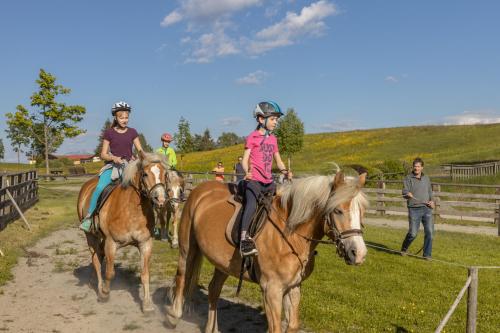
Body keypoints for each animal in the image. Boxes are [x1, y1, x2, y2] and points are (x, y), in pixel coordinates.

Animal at [77, 152, 169, 312]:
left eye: (165, 174)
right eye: (145, 174)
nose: (161, 199)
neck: (131, 209)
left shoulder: (145, 244)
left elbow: (145, 274)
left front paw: (147, 304)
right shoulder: (111, 243)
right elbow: (110, 272)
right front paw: (105, 294)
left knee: (99, 256)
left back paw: (93, 281)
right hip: (90, 236)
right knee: (96, 261)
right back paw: (99, 288)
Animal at [167, 170, 368, 330]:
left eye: (362, 211)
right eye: (338, 211)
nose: (358, 253)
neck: (290, 234)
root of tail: (198, 191)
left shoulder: (293, 286)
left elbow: (292, 325)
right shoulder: (272, 289)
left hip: (222, 263)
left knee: (213, 290)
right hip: (187, 248)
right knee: (182, 276)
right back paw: (174, 316)